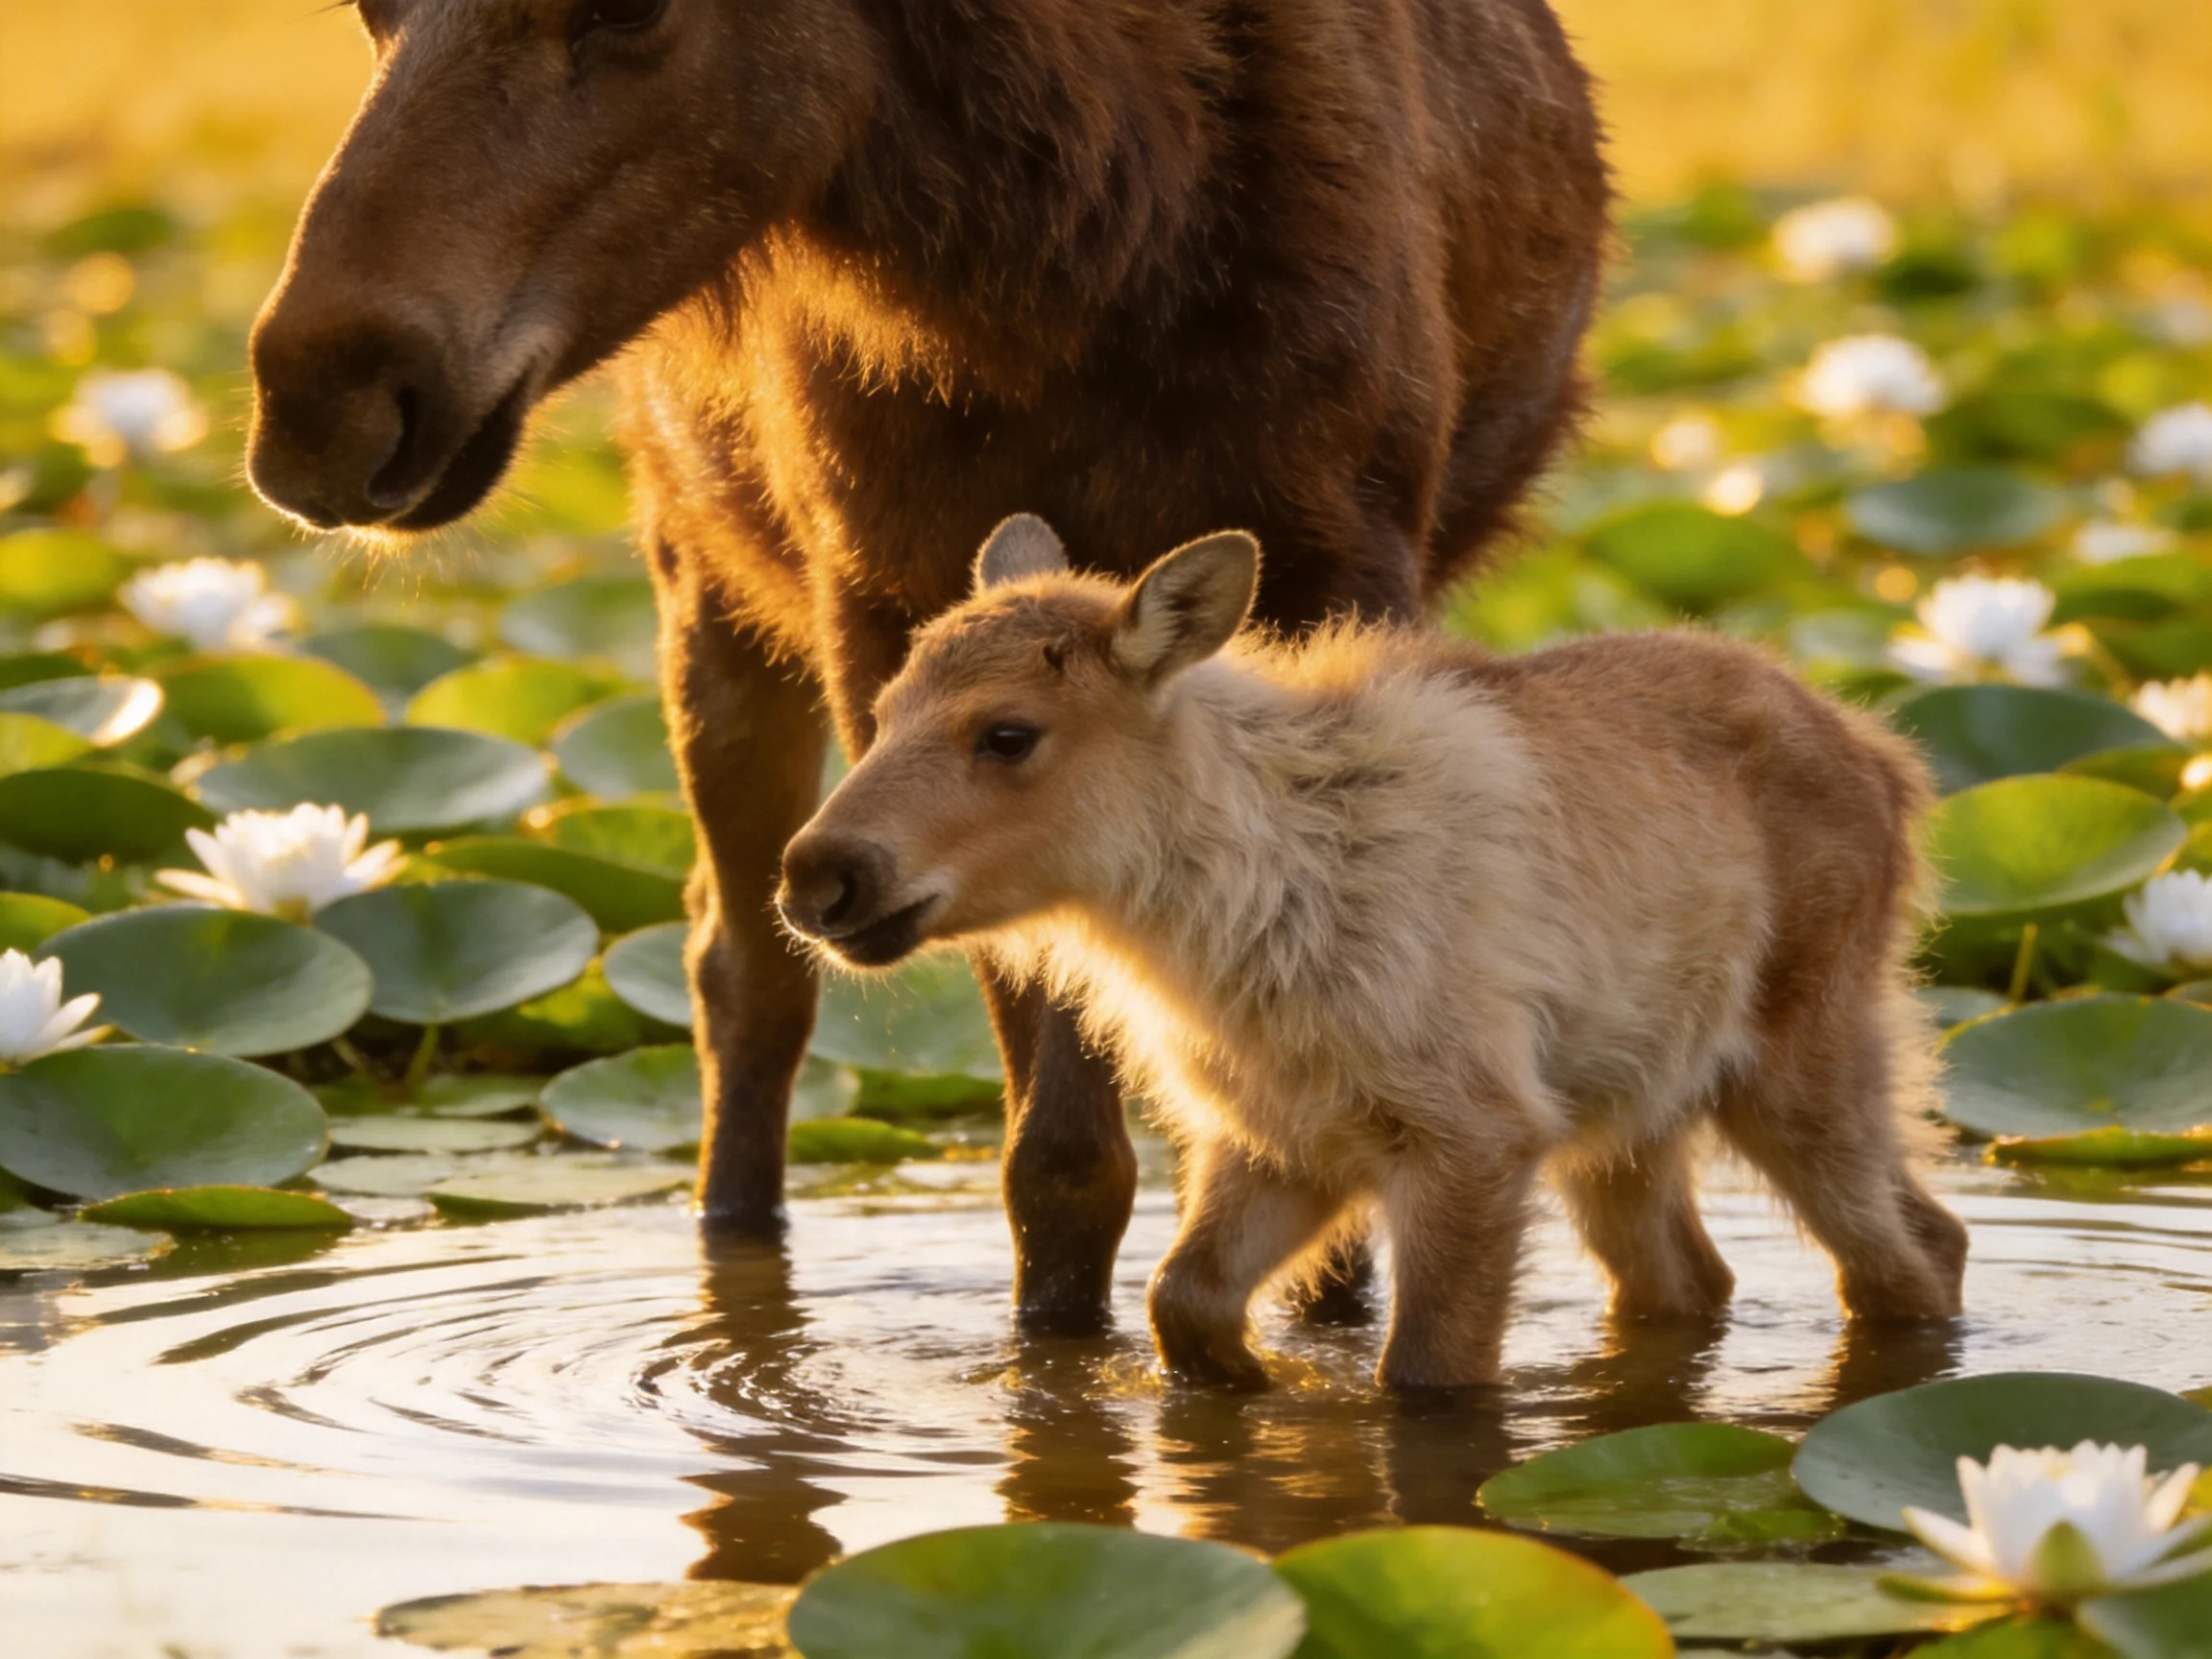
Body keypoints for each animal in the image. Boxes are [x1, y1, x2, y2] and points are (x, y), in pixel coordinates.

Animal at [244, 0, 1609, 1336]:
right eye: (366, 7)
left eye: (628, 9)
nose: (323, 403)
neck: (1084, 249)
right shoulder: (882, 605)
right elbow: (1059, 1152)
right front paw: (1056, 1343)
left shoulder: (1348, 566)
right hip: (703, 583)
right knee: (739, 970)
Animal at [779, 518, 1969, 1390]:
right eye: (881, 709)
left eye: (1009, 733)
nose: (815, 876)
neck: (1226, 931)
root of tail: (1898, 768)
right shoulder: (1279, 1138)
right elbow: (1182, 1301)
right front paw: (1259, 1387)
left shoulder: (1474, 1133)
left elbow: (1425, 1373)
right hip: (1626, 1122)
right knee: (1696, 1277)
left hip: (1805, 1064)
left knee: (1918, 1251)